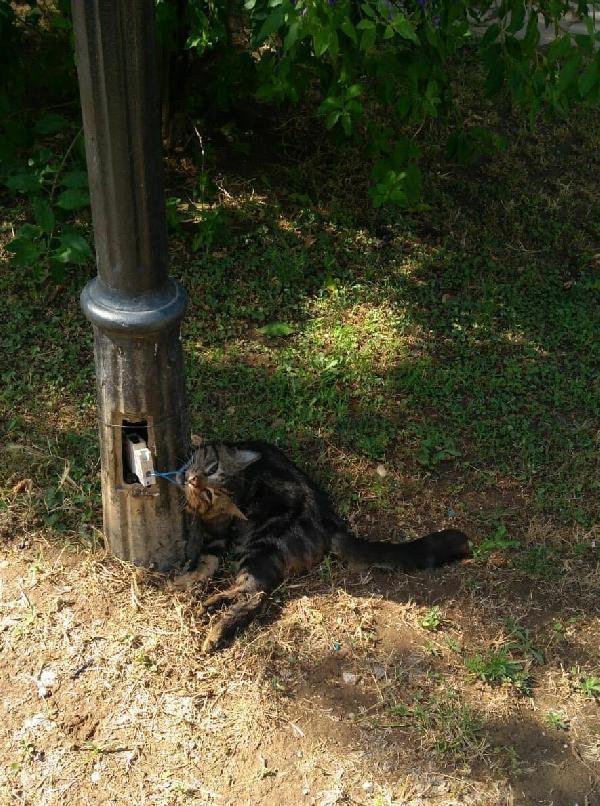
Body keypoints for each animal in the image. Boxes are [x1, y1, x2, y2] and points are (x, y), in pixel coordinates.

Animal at [173, 442, 468, 656]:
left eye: (212, 474)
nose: (192, 480)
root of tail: (331, 523)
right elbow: (207, 561)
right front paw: (190, 579)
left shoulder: (221, 534)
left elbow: (208, 558)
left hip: (259, 548)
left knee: (255, 595)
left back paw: (214, 629)